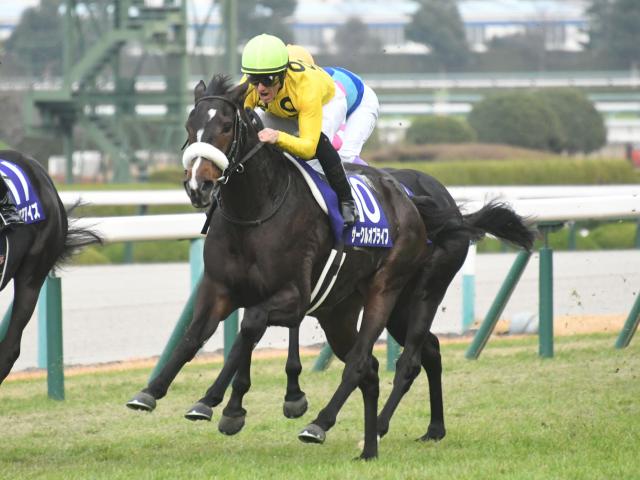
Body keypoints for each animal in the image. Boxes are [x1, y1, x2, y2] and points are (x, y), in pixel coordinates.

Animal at [126, 74, 535, 459]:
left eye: (226, 126)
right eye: (189, 125)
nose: (199, 186)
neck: (255, 211)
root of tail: (419, 203)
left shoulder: (293, 296)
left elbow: (250, 326)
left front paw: (219, 402)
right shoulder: (220, 289)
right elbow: (195, 336)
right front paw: (153, 391)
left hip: (403, 292)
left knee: (385, 361)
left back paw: (331, 424)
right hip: (357, 311)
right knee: (414, 353)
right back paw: (429, 428)